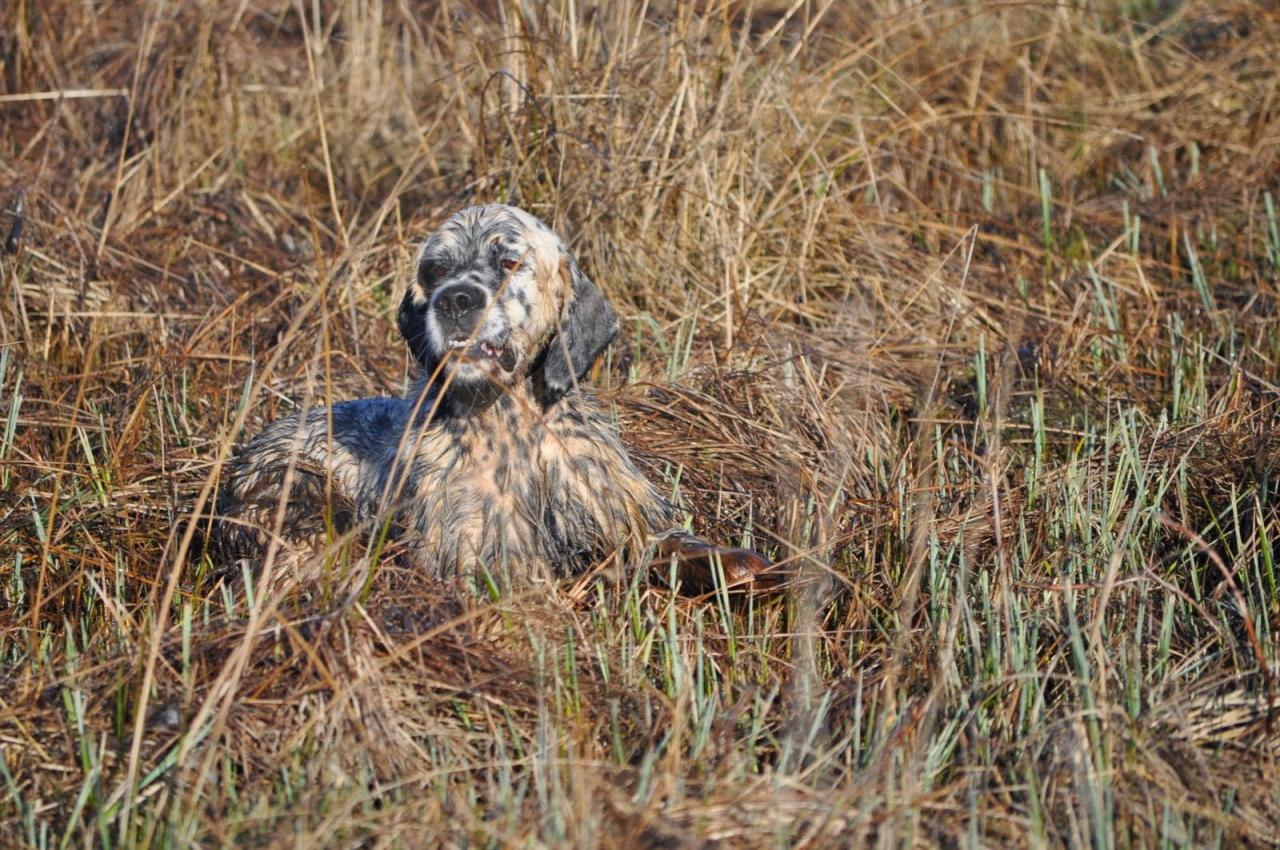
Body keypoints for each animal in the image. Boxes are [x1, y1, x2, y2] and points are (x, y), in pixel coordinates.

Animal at [208, 206, 768, 591]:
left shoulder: (615, 512)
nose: (455, 299)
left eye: (508, 261)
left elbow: (671, 542)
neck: (513, 426)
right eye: (435, 271)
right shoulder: (474, 549)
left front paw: (736, 562)